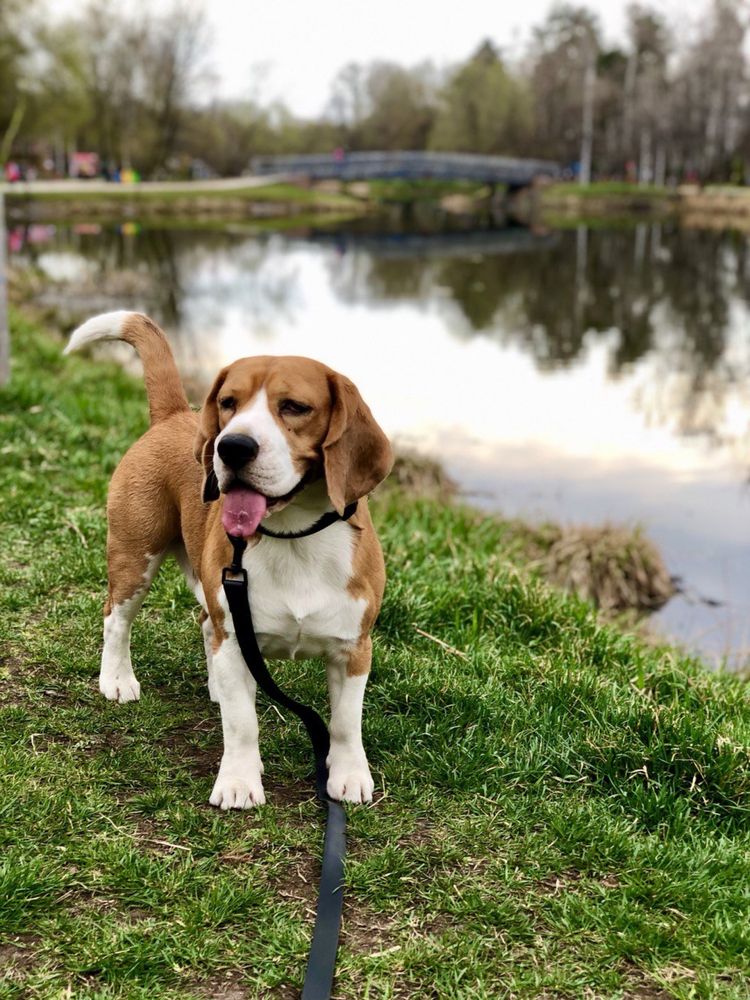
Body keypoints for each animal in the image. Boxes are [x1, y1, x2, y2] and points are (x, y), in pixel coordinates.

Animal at [64, 316, 394, 808]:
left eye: (294, 407)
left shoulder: (353, 647)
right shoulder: (237, 641)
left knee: (205, 622)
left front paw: (350, 775)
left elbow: (345, 724)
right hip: (135, 555)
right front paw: (239, 782)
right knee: (116, 618)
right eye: (227, 403)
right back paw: (118, 679)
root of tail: (174, 414)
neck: (293, 535)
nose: (232, 446)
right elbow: (242, 725)